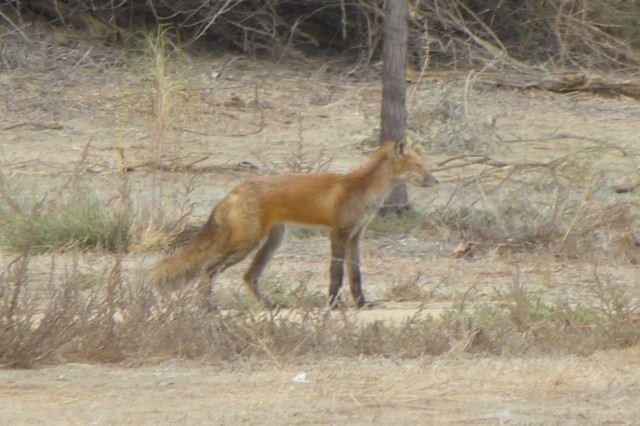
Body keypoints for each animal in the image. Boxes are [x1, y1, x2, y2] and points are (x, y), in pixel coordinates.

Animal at [150, 138, 438, 309]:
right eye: (419, 165)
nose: (436, 181)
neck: (361, 189)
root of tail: (234, 189)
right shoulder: (338, 234)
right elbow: (336, 274)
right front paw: (334, 304)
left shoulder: (355, 236)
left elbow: (356, 275)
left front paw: (362, 304)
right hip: (246, 243)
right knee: (209, 268)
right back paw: (207, 306)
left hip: (273, 241)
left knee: (248, 276)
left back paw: (268, 305)